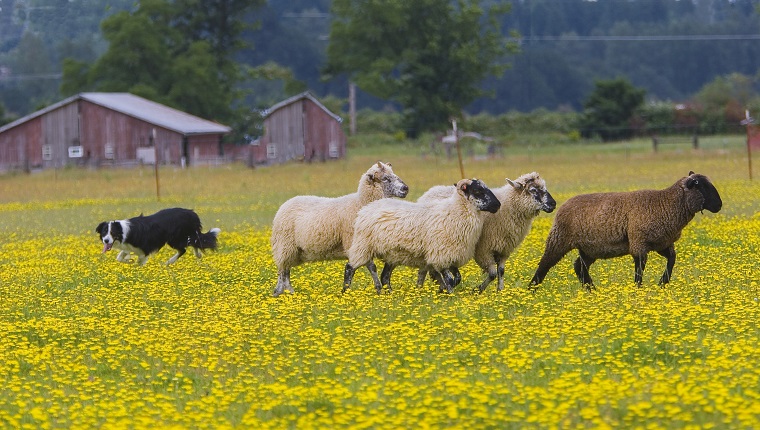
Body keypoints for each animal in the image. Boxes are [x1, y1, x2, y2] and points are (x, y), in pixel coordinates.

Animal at [270, 161, 406, 296]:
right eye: (385, 178)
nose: (405, 188)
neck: (360, 202)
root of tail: (284, 205)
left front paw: (378, 289)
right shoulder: (356, 243)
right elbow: (370, 267)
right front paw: (377, 289)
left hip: (294, 251)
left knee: (284, 272)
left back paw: (280, 293)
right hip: (285, 247)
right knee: (283, 273)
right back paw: (286, 292)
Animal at [416, 171, 560, 292]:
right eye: (533, 190)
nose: (553, 204)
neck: (508, 208)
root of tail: (431, 191)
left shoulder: (504, 250)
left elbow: (501, 271)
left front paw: (500, 291)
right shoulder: (484, 250)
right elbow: (492, 274)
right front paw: (477, 290)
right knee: (425, 269)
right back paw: (421, 289)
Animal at [528, 170, 724, 288]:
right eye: (701, 186)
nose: (719, 205)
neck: (665, 203)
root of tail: (563, 205)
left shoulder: (661, 243)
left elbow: (672, 260)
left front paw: (662, 283)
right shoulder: (638, 242)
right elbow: (639, 270)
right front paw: (638, 289)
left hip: (590, 248)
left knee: (579, 267)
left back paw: (592, 290)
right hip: (559, 238)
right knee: (544, 264)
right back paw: (532, 291)